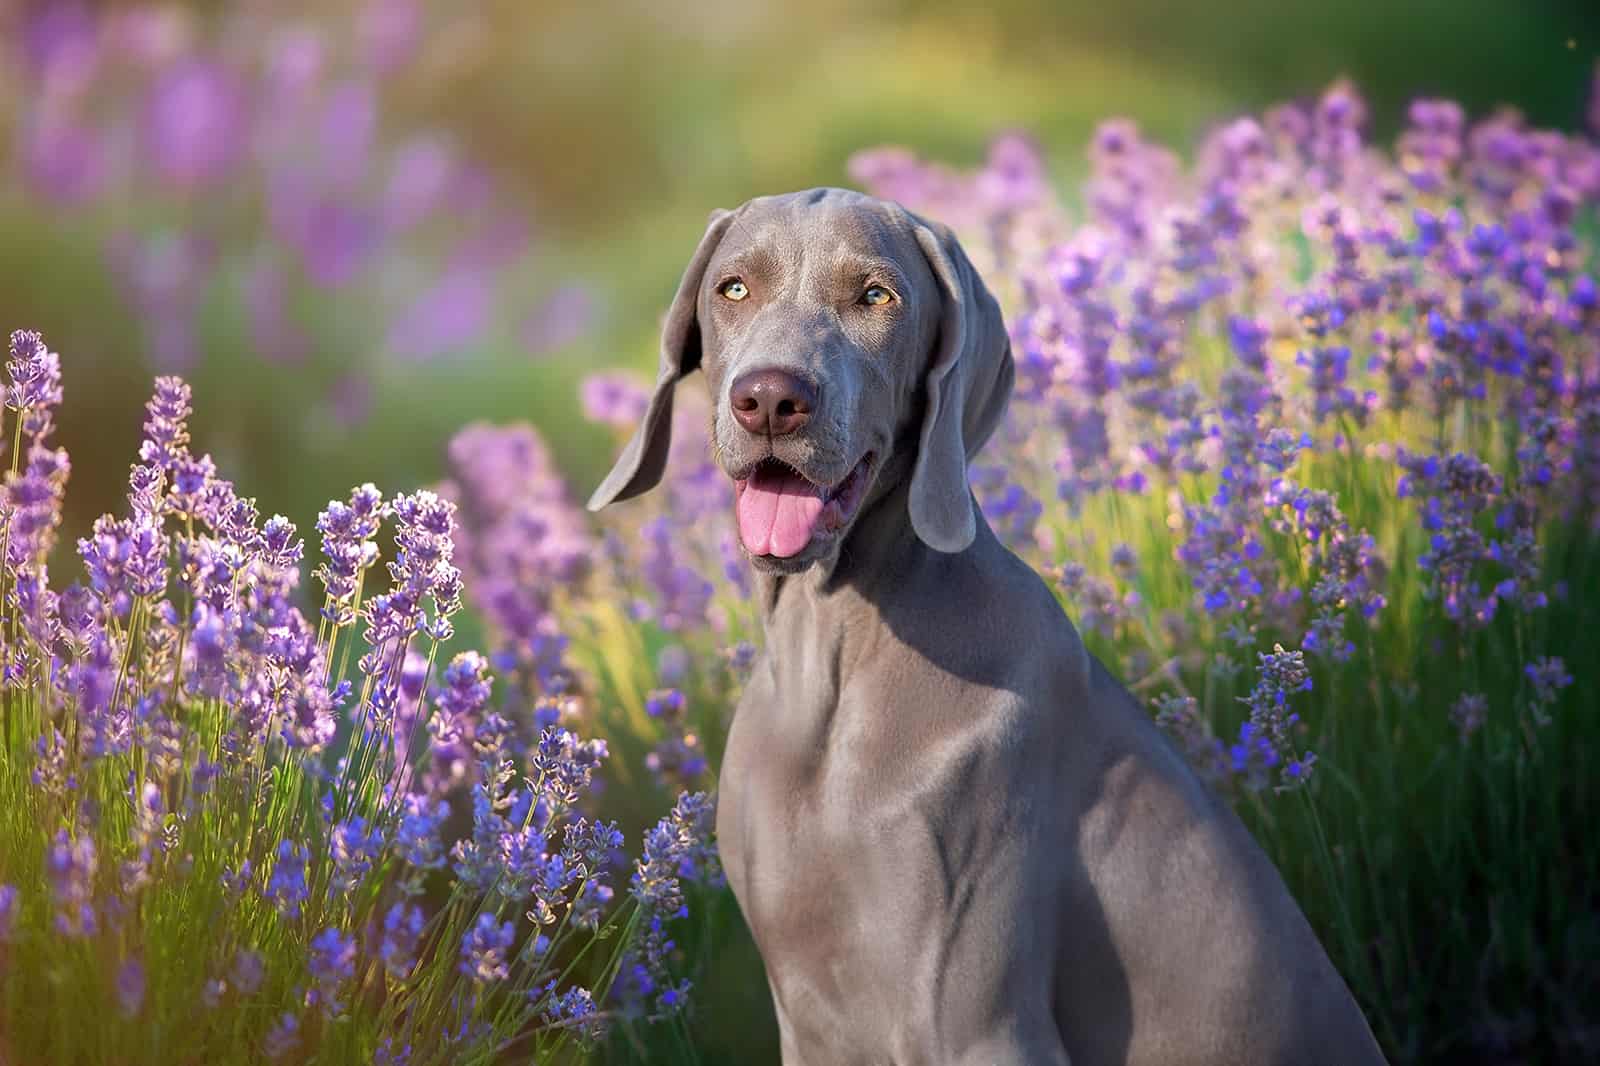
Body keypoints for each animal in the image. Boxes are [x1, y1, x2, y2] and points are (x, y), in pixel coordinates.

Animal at [588, 191, 1388, 1062]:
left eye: (876, 296)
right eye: (733, 288)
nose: (769, 399)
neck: (829, 660)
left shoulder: (976, 1019)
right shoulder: (806, 1018)